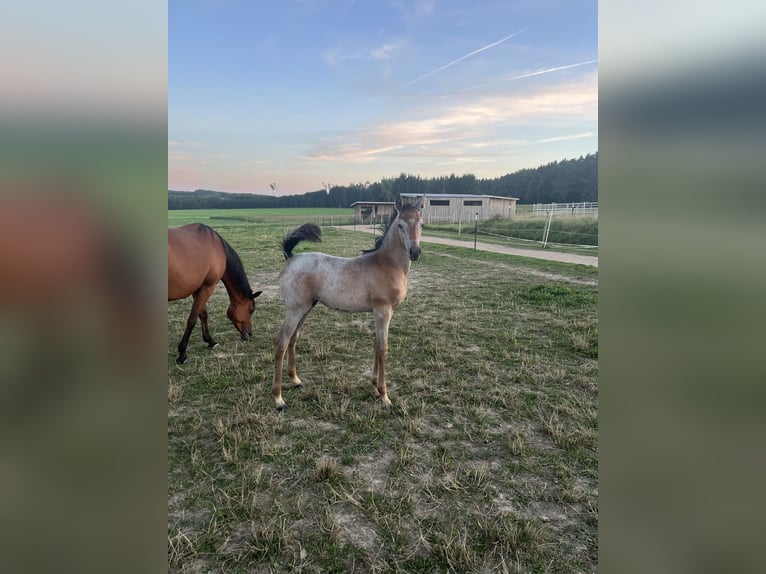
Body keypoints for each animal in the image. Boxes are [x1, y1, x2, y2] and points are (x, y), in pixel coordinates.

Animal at [168, 224, 264, 364]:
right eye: (251, 310)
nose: (249, 334)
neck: (217, 247)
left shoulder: (199, 289)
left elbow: (203, 315)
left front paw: (210, 341)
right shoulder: (208, 287)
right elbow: (192, 319)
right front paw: (182, 353)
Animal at [272, 197, 426, 410]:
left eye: (421, 224)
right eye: (401, 225)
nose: (415, 252)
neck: (388, 265)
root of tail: (292, 258)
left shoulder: (383, 313)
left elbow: (376, 346)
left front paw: (374, 387)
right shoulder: (383, 311)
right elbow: (382, 349)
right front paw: (384, 396)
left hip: (306, 308)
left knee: (293, 339)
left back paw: (295, 380)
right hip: (294, 310)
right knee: (282, 343)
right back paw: (279, 399)